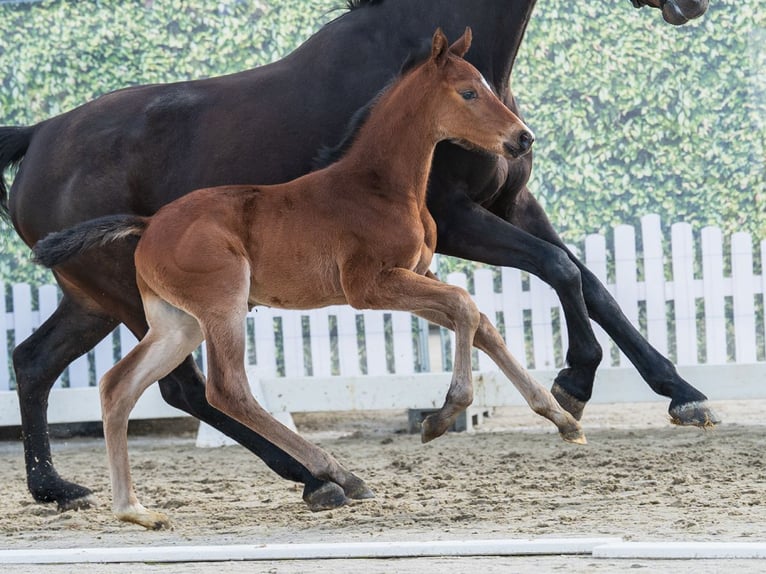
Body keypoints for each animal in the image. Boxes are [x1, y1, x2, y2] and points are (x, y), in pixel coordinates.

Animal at [0, 0, 714, 514]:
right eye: (468, 93)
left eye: (484, 86)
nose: (522, 138)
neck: (375, 178)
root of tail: (36, 134)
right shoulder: (413, 258)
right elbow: (526, 286)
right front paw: (541, 391)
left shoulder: (474, 232)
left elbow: (550, 295)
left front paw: (640, 399)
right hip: (180, 302)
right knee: (202, 387)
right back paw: (319, 475)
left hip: (110, 301)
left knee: (49, 365)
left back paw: (57, 488)